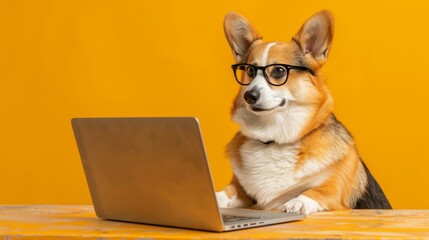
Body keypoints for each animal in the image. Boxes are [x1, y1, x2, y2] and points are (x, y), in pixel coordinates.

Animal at [217, 10, 392, 215]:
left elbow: (315, 191)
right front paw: (215, 196)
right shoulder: (241, 189)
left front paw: (297, 202)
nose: (249, 96)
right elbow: (229, 191)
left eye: (278, 71)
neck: (274, 139)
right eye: (251, 71)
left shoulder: (334, 190)